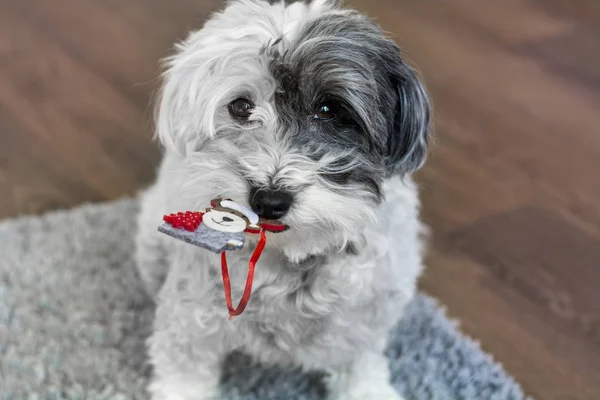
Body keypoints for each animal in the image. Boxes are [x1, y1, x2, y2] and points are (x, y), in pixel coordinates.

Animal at [135, 1, 432, 398]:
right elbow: (184, 372)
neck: (291, 256)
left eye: (329, 109)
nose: (269, 199)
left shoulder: (362, 325)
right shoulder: (191, 323)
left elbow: (360, 369)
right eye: (241, 107)